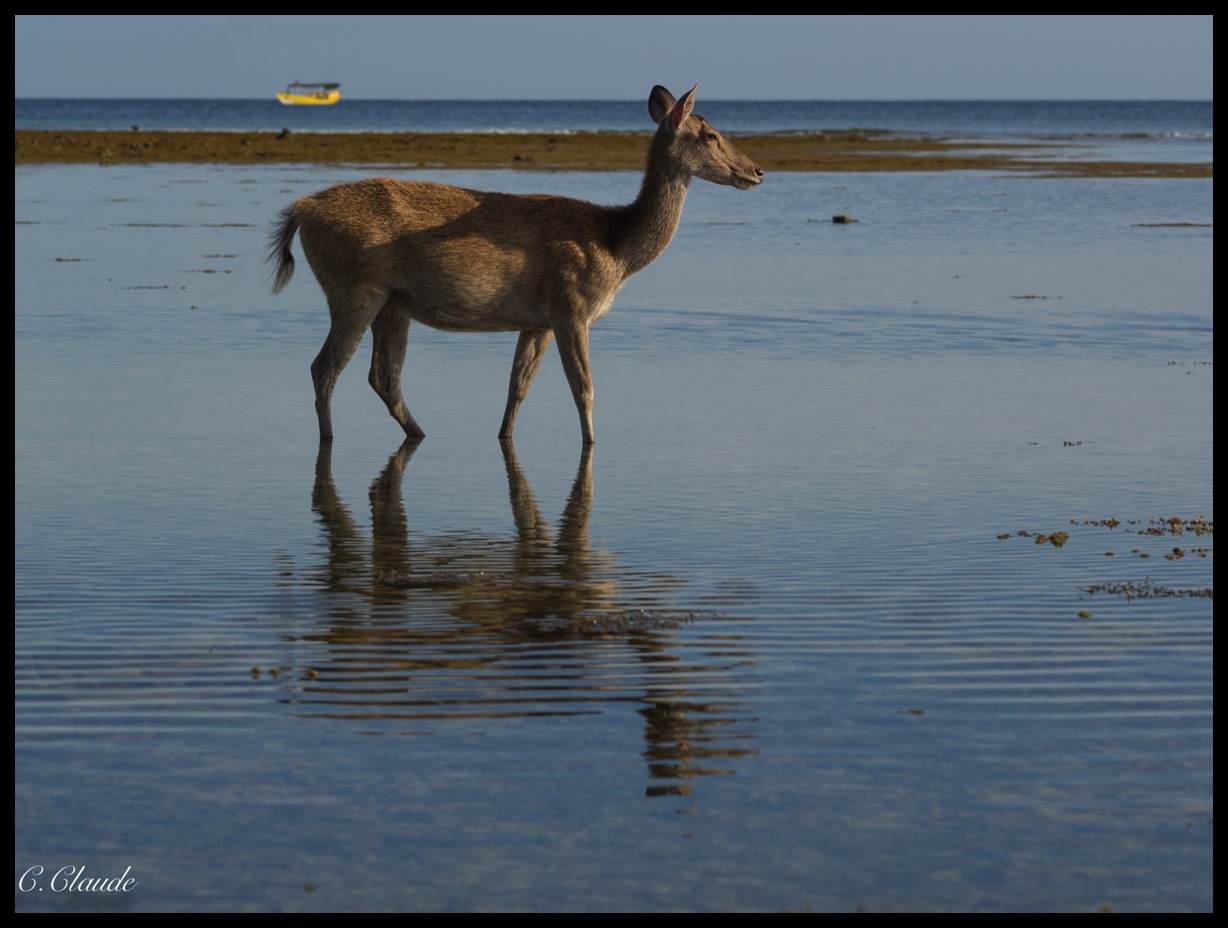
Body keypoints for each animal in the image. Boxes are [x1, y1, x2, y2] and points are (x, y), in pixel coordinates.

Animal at [267, 83, 761, 441]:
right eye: (712, 135)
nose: (757, 170)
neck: (615, 247)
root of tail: (300, 212)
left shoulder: (537, 320)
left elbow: (517, 388)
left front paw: (504, 437)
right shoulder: (570, 306)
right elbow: (585, 388)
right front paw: (592, 444)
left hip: (393, 303)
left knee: (382, 376)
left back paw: (420, 433)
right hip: (354, 288)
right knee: (325, 367)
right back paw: (330, 438)